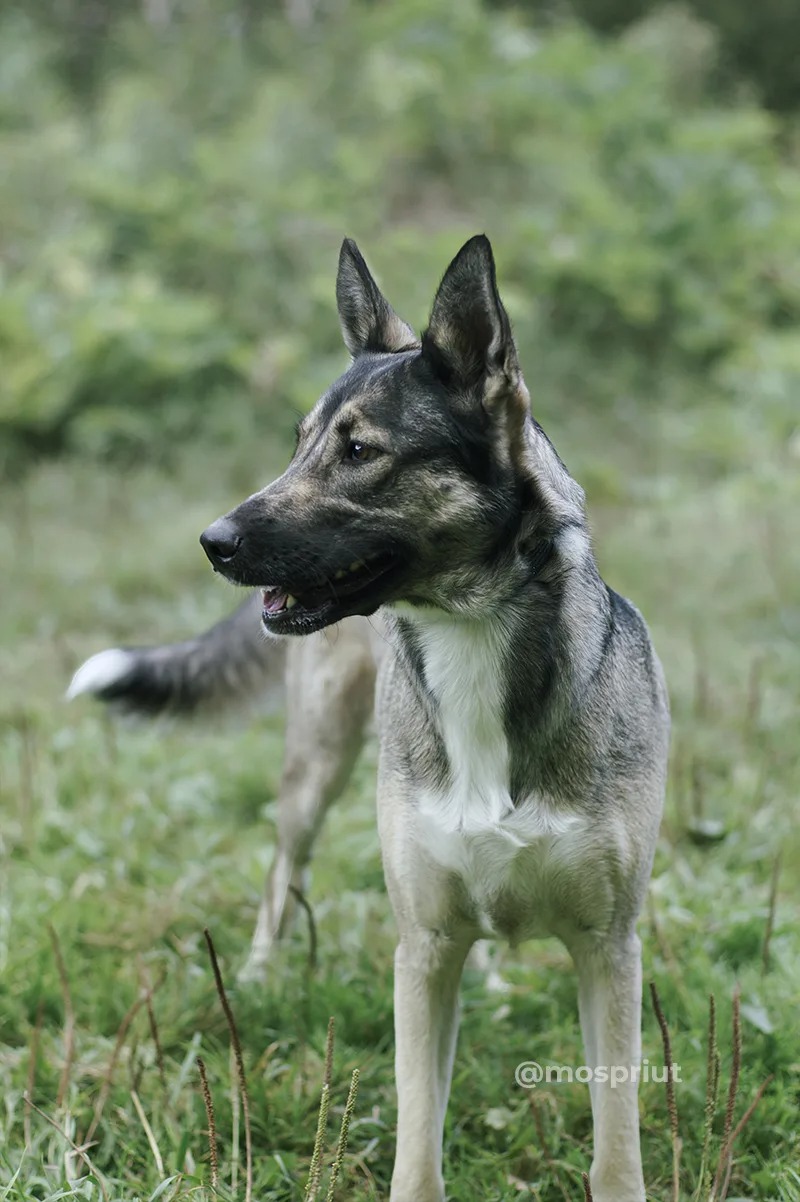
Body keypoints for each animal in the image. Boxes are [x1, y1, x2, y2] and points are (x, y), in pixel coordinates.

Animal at [69, 236, 667, 1202]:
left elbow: (617, 1150)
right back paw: (262, 973)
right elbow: (418, 1141)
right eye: (299, 445)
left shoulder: (610, 948)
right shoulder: (419, 948)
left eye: (359, 450)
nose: (213, 543)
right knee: (284, 868)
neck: (470, 633)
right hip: (316, 768)